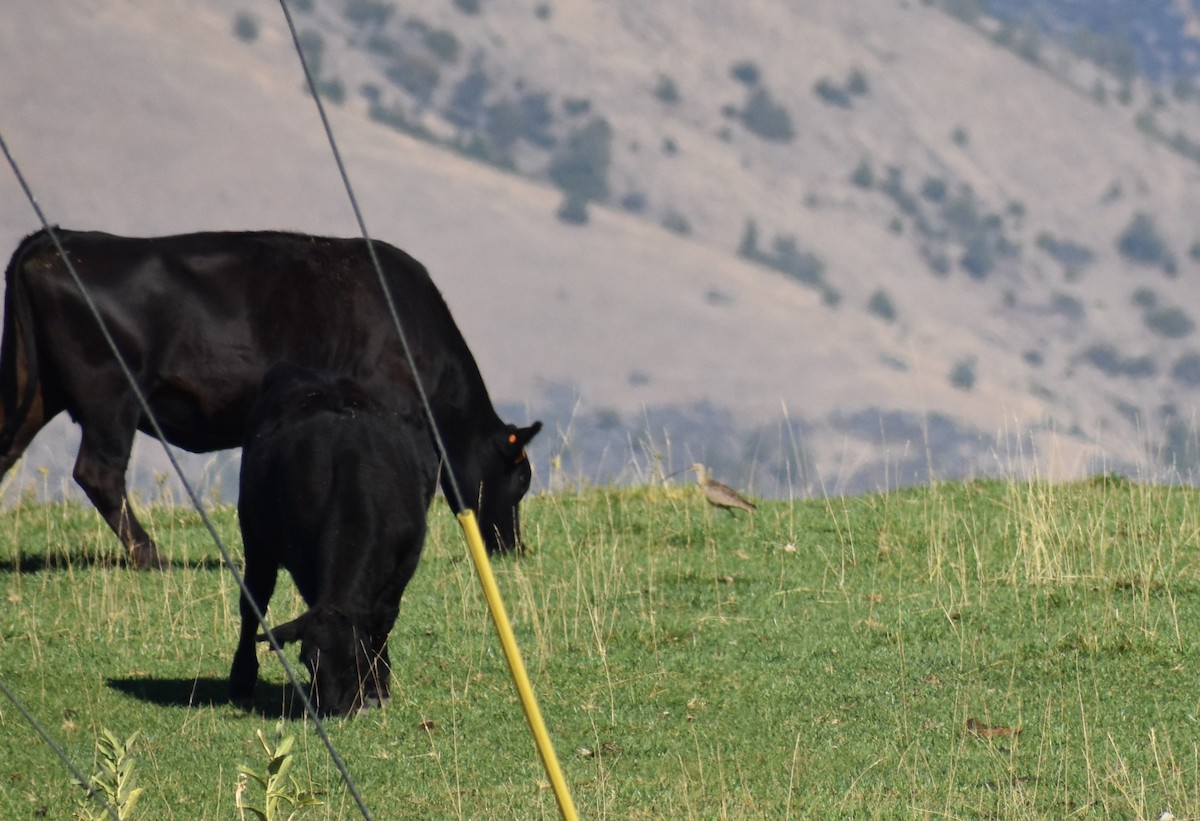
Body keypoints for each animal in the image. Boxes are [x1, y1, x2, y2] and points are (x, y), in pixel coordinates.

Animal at [0, 228, 544, 566]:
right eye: (520, 481)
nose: (512, 548)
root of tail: (60, 239)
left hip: (33, 390)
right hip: (110, 396)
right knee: (100, 473)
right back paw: (150, 556)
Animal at [226, 362, 439, 715]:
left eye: (355, 659)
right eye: (307, 660)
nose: (333, 708)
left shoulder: (406, 562)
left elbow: (382, 625)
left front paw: (378, 687)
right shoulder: (303, 560)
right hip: (255, 538)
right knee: (252, 602)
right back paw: (241, 678)